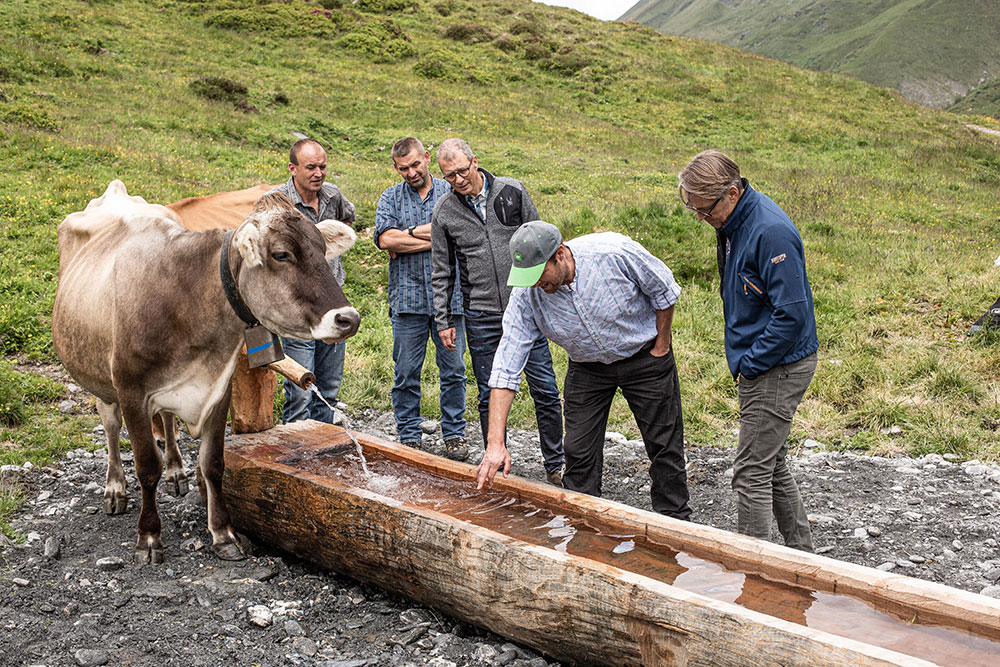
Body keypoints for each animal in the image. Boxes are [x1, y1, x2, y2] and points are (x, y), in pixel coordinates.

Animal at [52, 179, 362, 564]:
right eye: (281, 254)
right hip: (98, 377)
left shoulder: (218, 388)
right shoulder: (132, 391)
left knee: (167, 420)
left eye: (322, 249)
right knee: (110, 426)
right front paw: (149, 537)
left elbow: (213, 463)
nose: (348, 318)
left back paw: (176, 470)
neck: (188, 301)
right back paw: (115, 488)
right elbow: (146, 466)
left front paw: (223, 534)